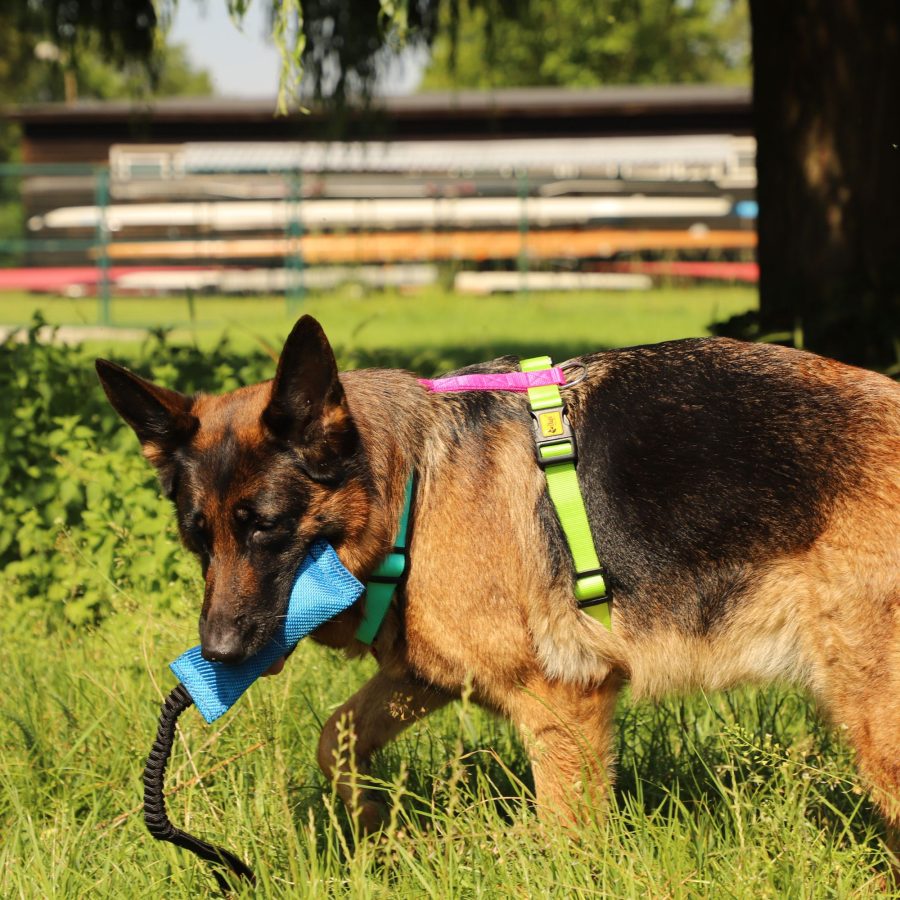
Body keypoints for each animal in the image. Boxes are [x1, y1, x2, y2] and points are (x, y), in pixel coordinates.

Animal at [96, 314, 900, 844]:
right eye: (197, 538)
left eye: (264, 526)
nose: (219, 655)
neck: (412, 487)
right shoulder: (427, 673)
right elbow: (337, 737)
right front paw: (371, 822)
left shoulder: (564, 701)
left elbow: (566, 843)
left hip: (877, 719)